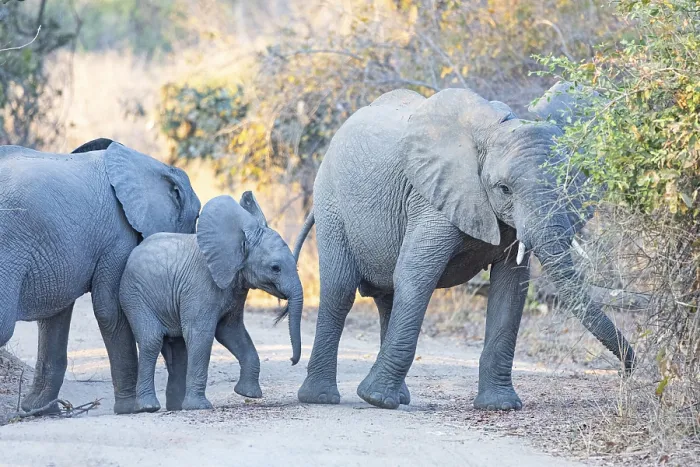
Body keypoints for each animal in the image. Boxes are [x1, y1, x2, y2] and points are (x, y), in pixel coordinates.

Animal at [0, 138, 201, 414]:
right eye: (198, 216)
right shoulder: (118, 235)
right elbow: (111, 309)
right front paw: (132, 408)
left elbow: (54, 318)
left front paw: (39, 410)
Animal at [119, 192, 303, 412]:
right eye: (275, 268)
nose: (292, 361)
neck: (238, 239)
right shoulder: (201, 285)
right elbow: (201, 334)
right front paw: (199, 407)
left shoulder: (234, 288)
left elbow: (231, 332)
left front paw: (248, 394)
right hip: (134, 295)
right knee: (152, 340)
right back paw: (149, 407)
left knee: (177, 348)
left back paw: (176, 407)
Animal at [293, 83, 635, 411]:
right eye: (504, 189)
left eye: (566, 187)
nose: (629, 368)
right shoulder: (431, 199)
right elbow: (416, 274)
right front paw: (376, 399)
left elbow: (511, 289)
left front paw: (500, 406)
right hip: (332, 204)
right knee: (340, 291)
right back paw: (322, 398)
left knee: (387, 297)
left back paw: (397, 396)